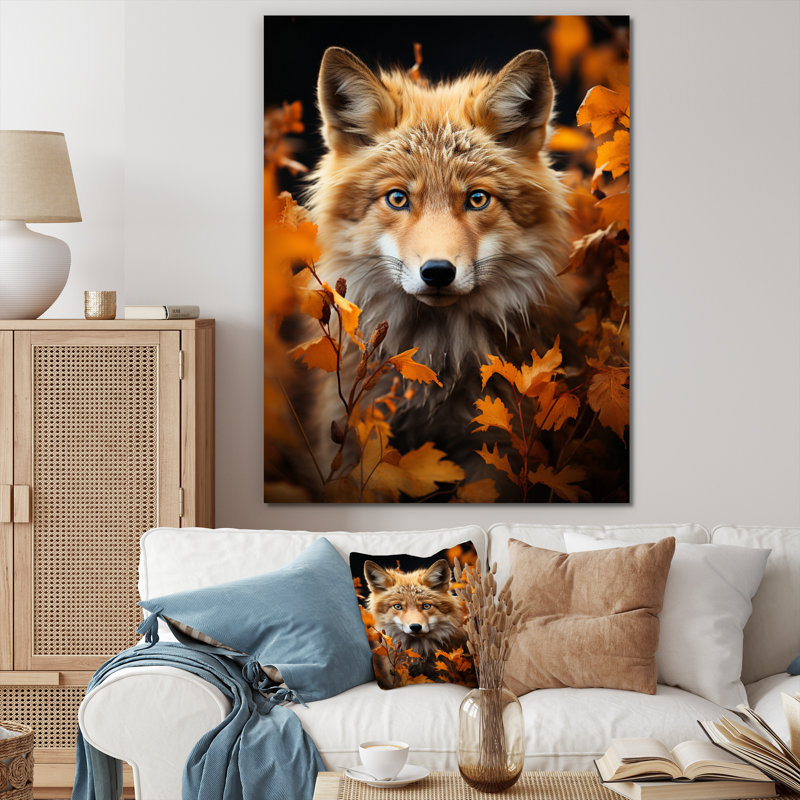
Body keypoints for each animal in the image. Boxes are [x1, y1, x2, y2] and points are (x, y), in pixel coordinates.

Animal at [305, 46, 574, 495]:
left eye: (477, 199)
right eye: (397, 198)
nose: (437, 272)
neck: (437, 360)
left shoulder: (492, 452)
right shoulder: (355, 442)